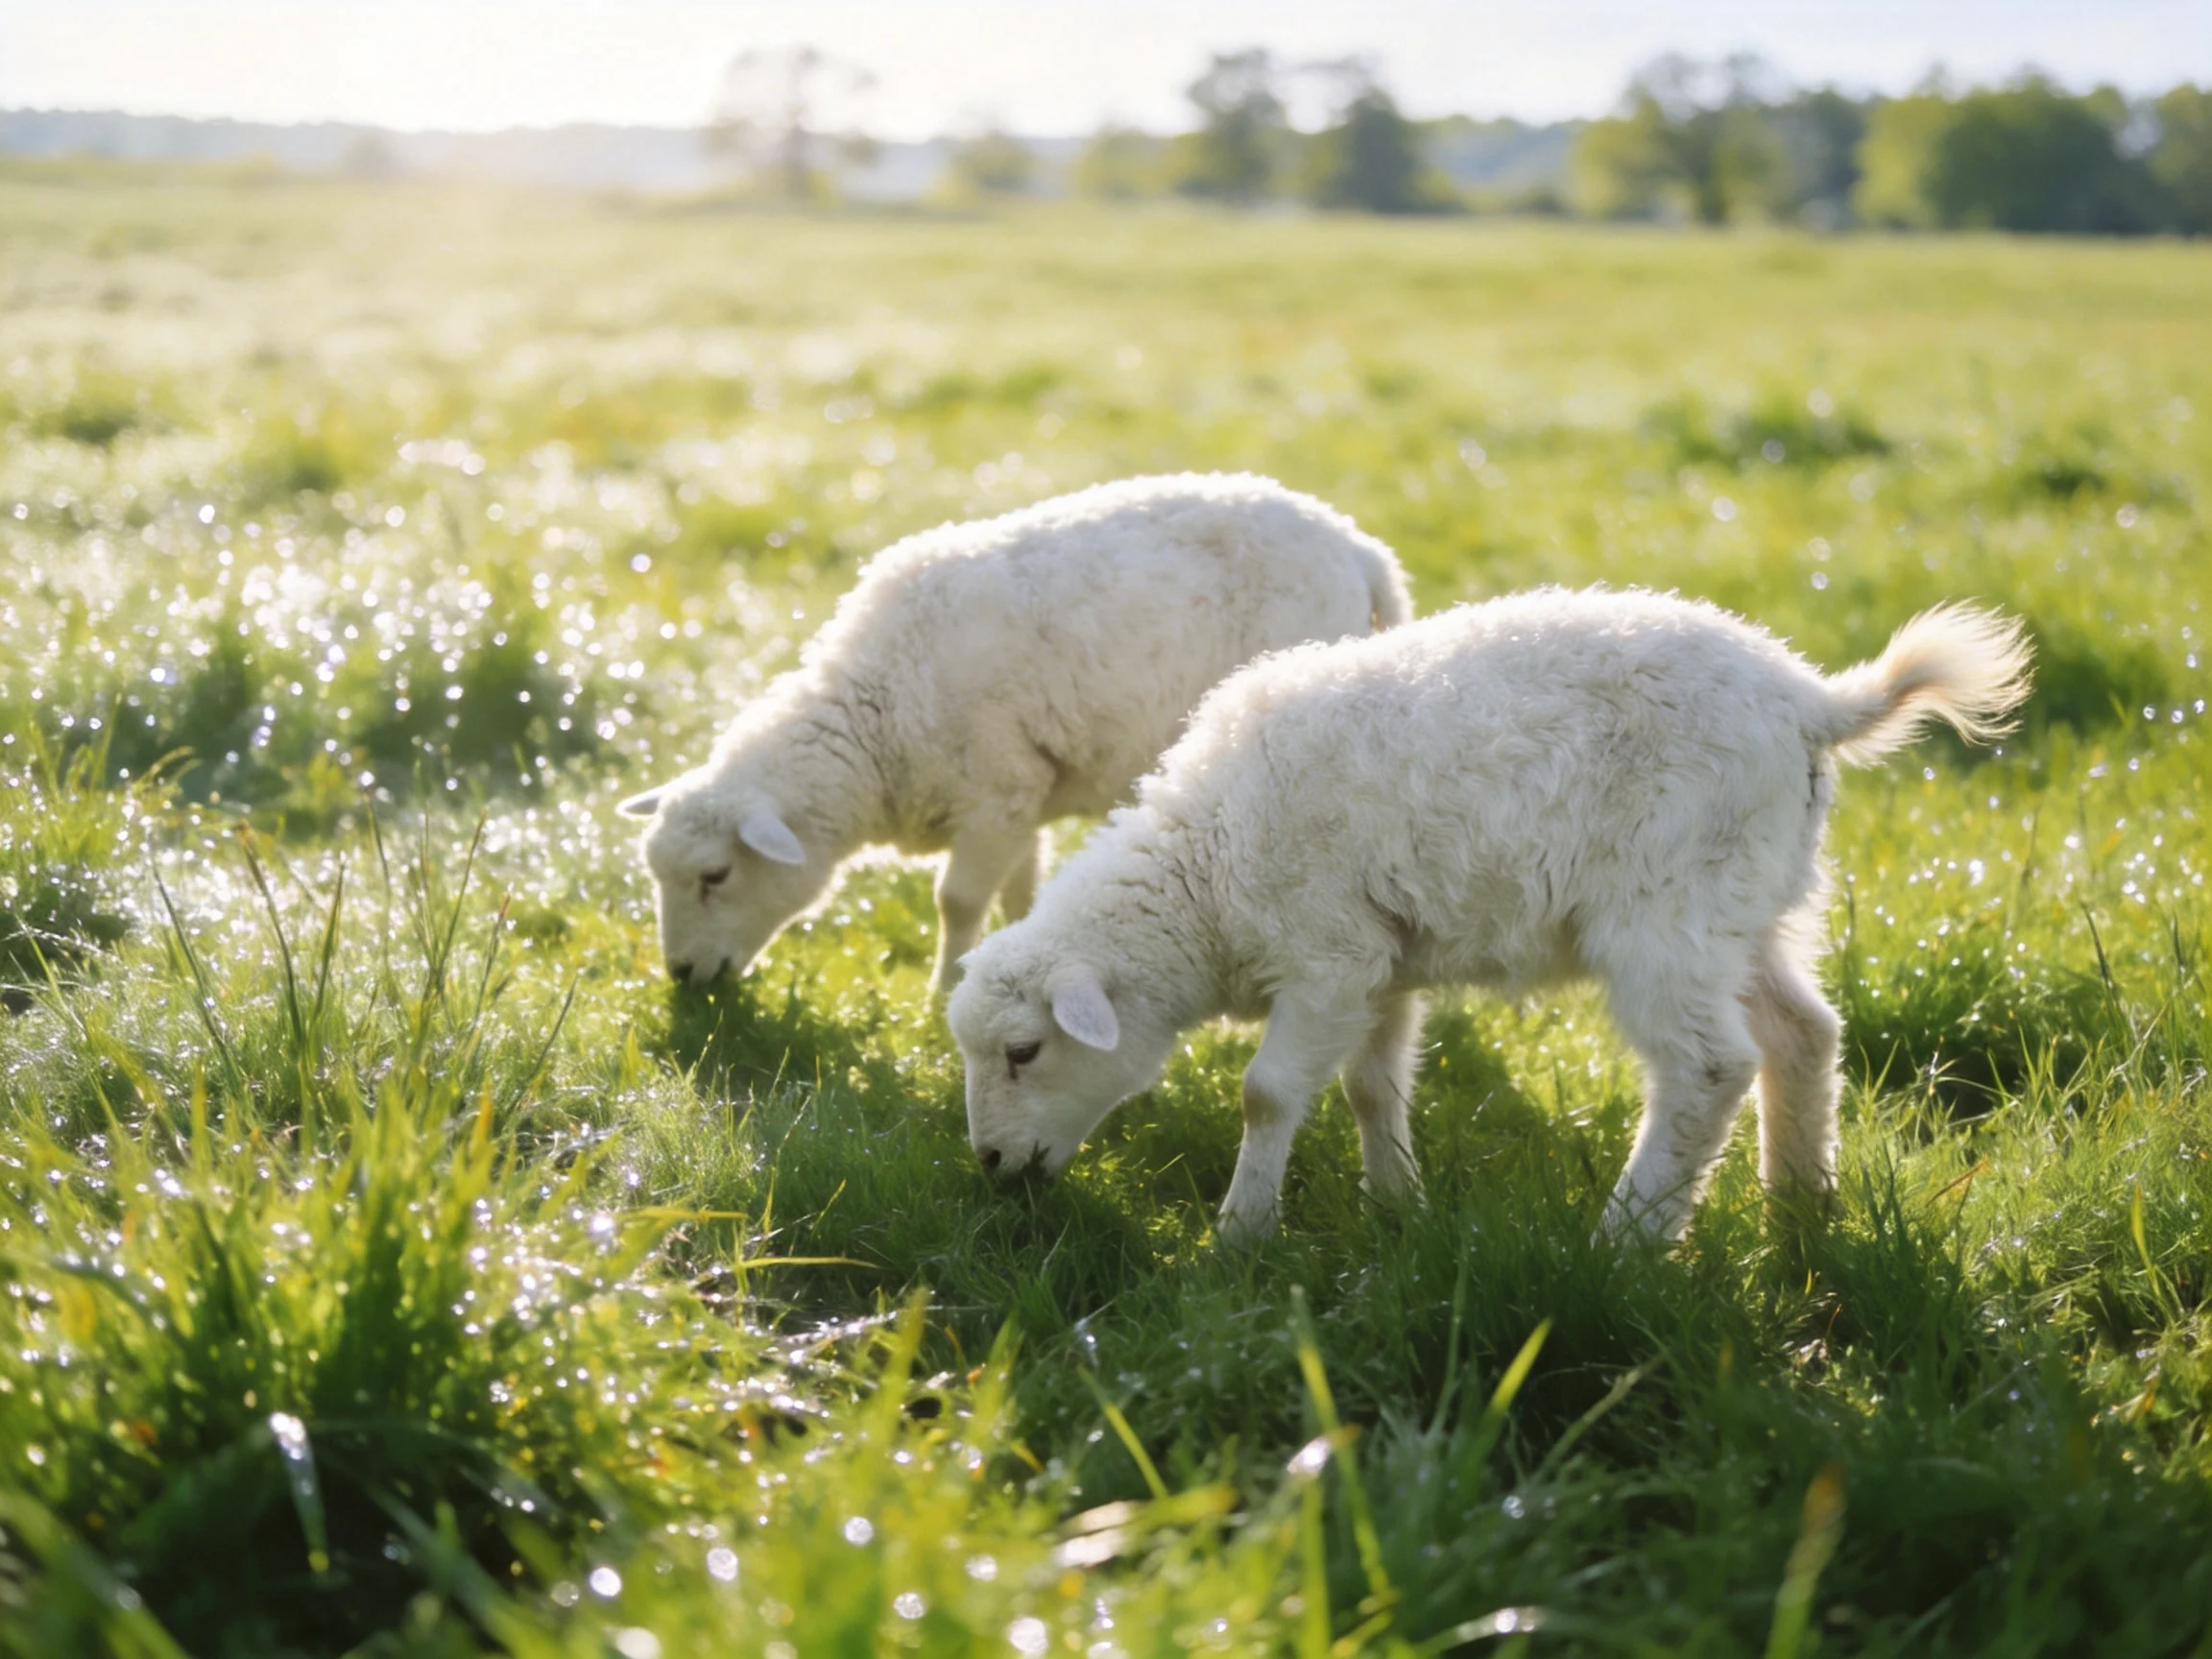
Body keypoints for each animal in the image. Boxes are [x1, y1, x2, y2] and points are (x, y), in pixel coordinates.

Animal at [618, 473, 1413, 993]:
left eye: (715, 876)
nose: (682, 977)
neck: (877, 715)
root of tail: (1359, 547)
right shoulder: (1022, 803)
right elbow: (1017, 901)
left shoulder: (994, 793)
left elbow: (958, 902)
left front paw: (943, 991)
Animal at [948, 587, 2032, 1243]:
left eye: (1023, 1052)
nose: (992, 1164)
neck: (1206, 868)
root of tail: (1811, 702)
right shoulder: (1379, 961)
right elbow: (1372, 1089)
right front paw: (1397, 1206)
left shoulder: (1326, 956)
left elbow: (1267, 1094)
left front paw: (1242, 1232)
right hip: (1748, 900)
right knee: (1803, 1034)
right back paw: (1800, 1209)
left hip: (1665, 907)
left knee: (1709, 1067)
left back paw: (1627, 1238)